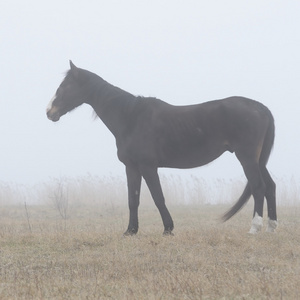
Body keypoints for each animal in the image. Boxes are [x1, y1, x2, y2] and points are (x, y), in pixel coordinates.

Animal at [45, 60, 278, 234]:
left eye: (65, 86)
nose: (49, 112)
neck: (131, 118)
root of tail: (260, 107)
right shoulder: (132, 167)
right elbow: (133, 199)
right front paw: (130, 231)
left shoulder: (148, 167)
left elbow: (158, 197)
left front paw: (168, 228)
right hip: (259, 160)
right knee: (270, 186)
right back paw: (272, 227)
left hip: (247, 157)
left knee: (258, 187)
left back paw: (255, 228)